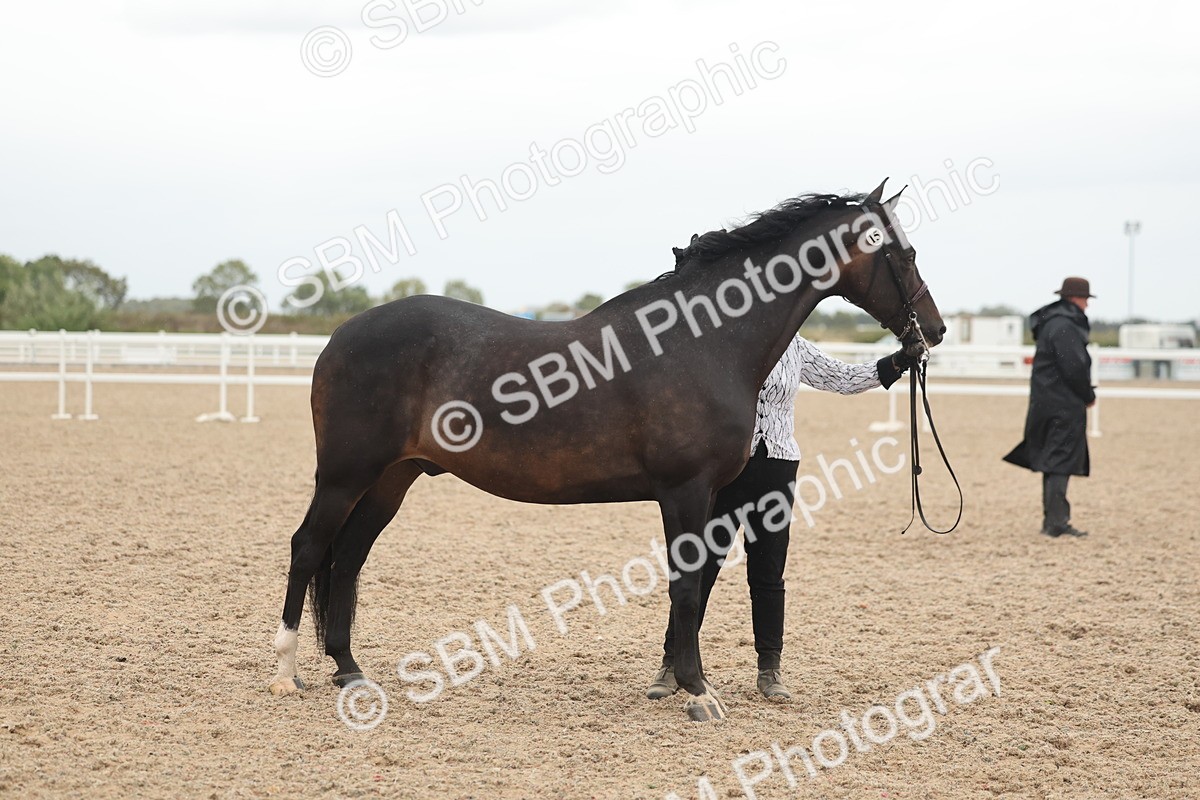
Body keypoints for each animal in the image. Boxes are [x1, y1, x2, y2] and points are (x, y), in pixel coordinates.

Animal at [267, 179, 946, 722]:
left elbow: (693, 585)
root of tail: (340, 335)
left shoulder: (708, 496)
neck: (705, 341)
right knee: (309, 548)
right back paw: (285, 673)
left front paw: (679, 683)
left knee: (348, 559)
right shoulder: (686, 491)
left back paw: (349, 670)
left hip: (392, 478)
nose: (933, 332)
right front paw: (698, 693)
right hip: (345, 475)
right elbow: (686, 587)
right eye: (905, 252)